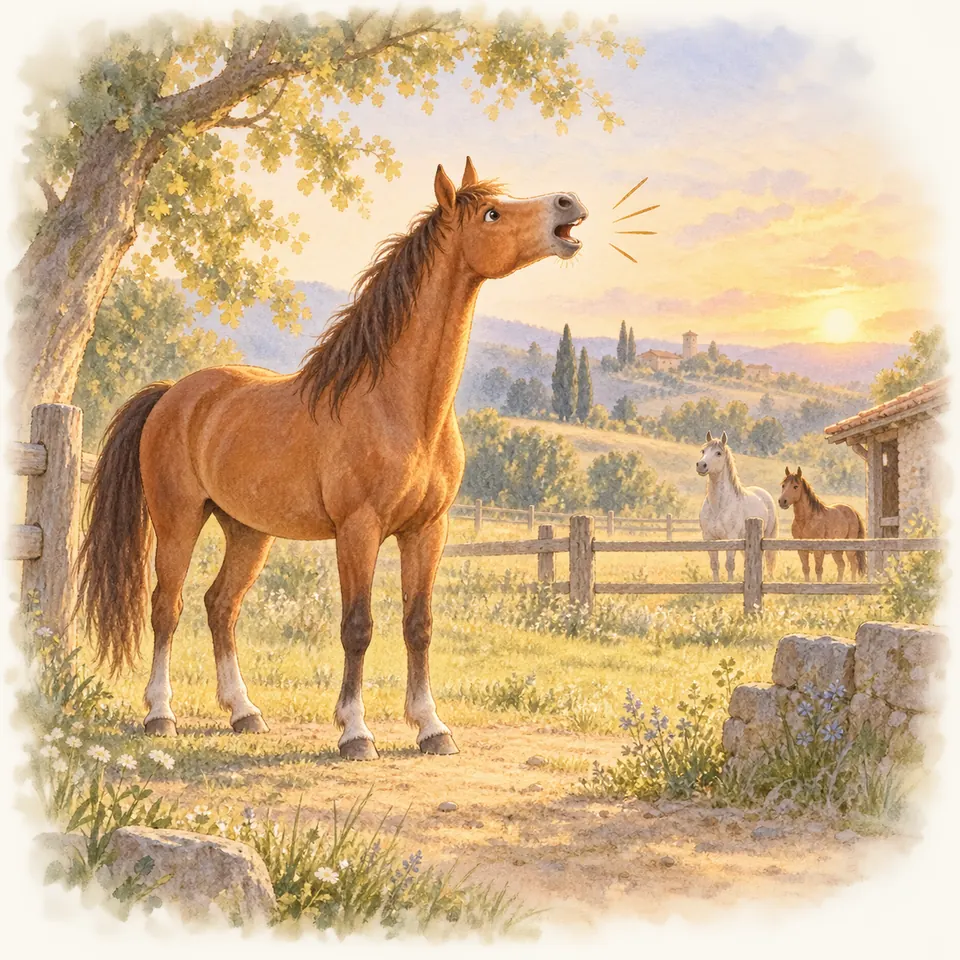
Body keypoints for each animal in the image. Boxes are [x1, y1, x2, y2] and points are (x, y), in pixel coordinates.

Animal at [77, 157, 588, 760]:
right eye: (492, 213)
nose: (568, 203)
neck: (400, 406)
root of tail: (172, 393)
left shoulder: (427, 530)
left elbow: (419, 624)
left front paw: (432, 728)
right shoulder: (358, 530)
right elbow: (358, 627)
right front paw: (355, 732)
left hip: (247, 531)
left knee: (221, 605)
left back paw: (244, 712)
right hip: (179, 520)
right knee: (167, 606)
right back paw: (160, 714)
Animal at [696, 431, 778, 583]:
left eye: (718, 453)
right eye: (703, 451)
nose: (701, 465)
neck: (718, 507)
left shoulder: (731, 538)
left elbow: (729, 564)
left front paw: (730, 583)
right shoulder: (709, 538)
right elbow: (714, 564)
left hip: (768, 536)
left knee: (767, 561)